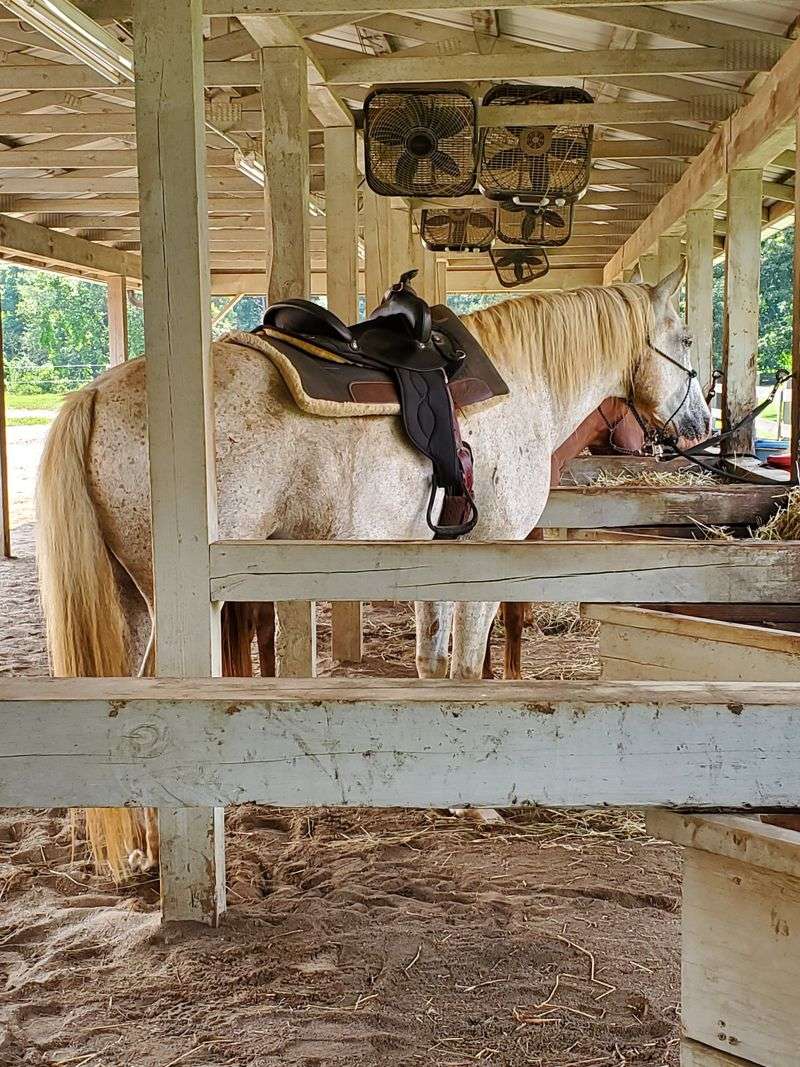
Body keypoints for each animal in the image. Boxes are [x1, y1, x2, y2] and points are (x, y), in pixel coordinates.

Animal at [36, 264, 711, 878]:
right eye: (684, 340)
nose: (700, 428)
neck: (522, 385)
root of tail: (96, 395)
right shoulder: (487, 561)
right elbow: (468, 673)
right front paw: (477, 802)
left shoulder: (436, 562)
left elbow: (432, 666)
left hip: (131, 602)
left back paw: (142, 847)